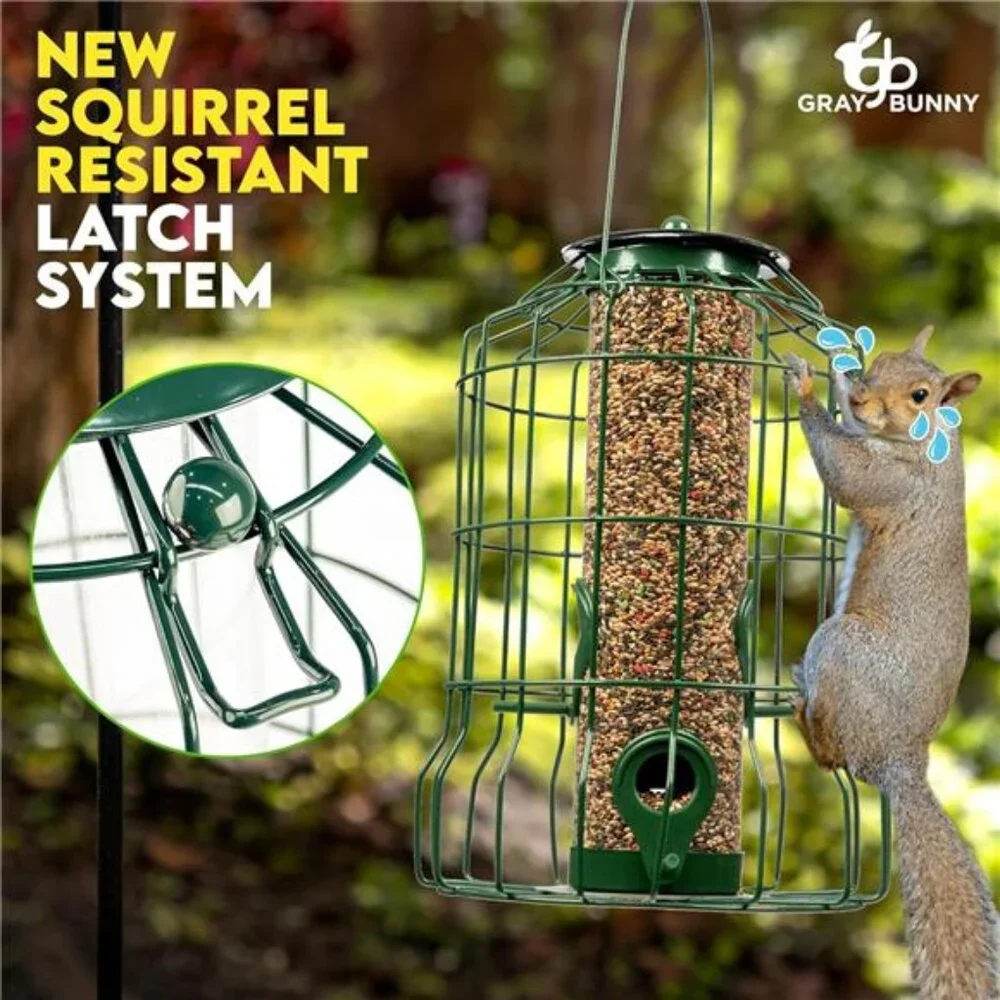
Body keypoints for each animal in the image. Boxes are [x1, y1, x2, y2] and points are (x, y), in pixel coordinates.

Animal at [783, 325, 998, 1000]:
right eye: (879, 361)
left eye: (922, 395)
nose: (860, 393)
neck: (929, 442)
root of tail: (902, 759)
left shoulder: (895, 482)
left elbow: (847, 474)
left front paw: (808, 384)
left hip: (841, 644)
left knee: (833, 752)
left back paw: (801, 711)